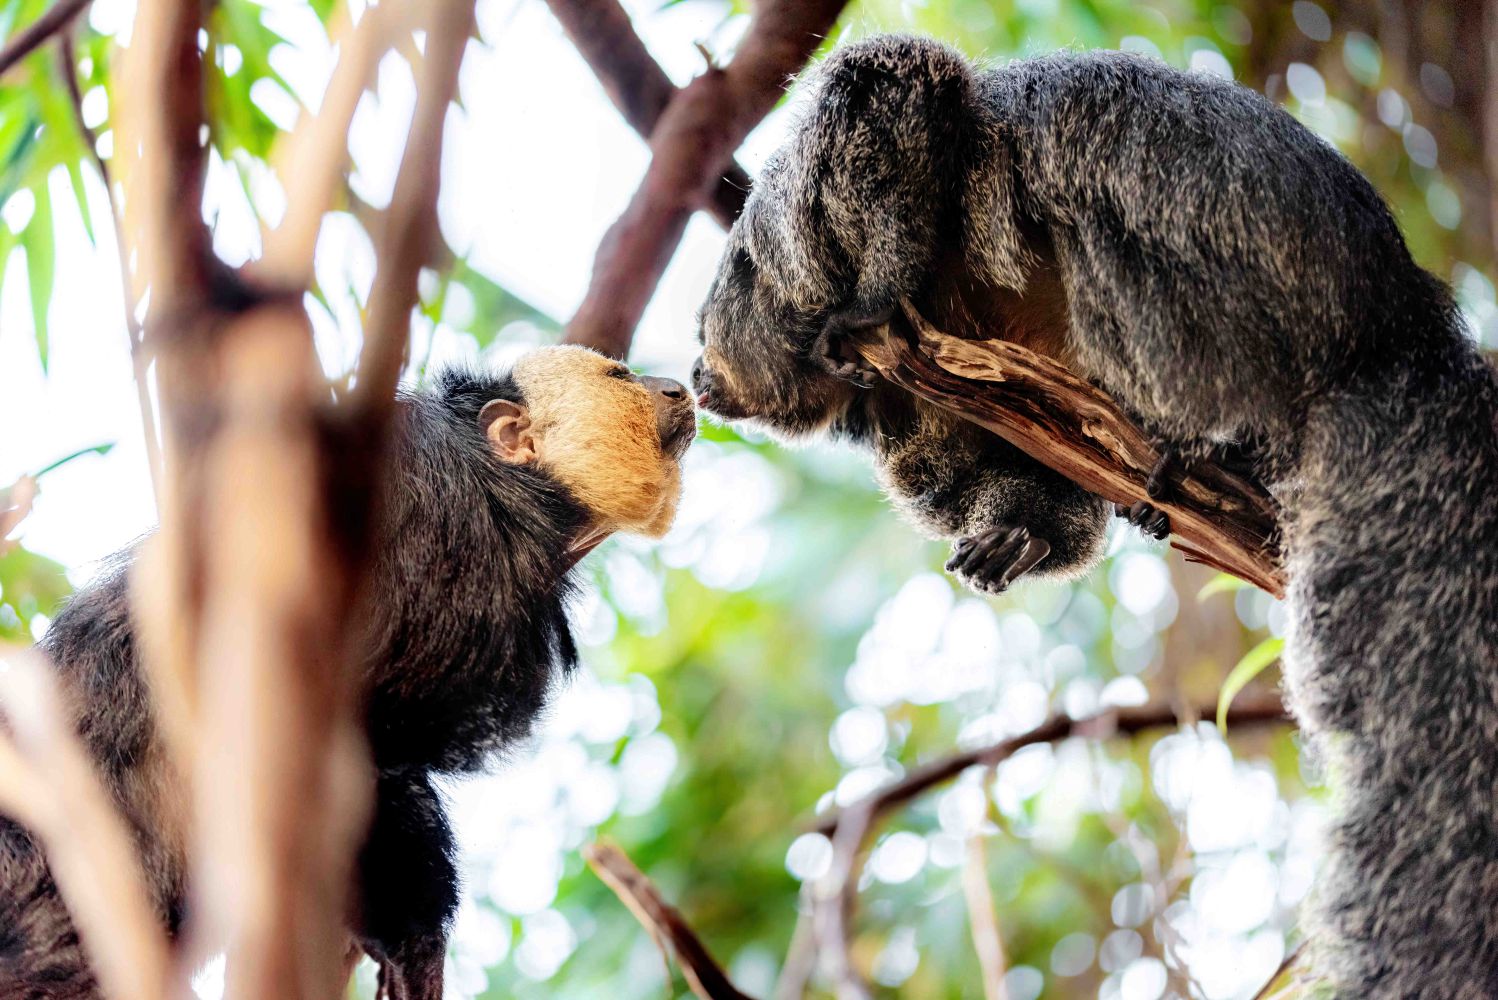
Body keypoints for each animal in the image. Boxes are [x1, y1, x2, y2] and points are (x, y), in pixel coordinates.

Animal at [689, 33, 1498, 999]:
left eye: (703, 338)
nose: (696, 378)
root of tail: (1402, 324)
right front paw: (1020, 529)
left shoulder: (814, 209)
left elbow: (901, 87)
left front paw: (871, 296)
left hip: (1237, 309)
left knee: (1088, 227)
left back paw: (1202, 440)